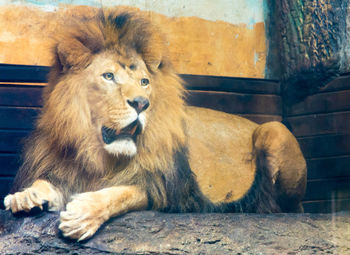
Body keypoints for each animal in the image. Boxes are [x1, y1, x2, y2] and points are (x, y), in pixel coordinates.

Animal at [4, 9, 306, 241]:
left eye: (144, 82)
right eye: (108, 76)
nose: (141, 103)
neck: (98, 156)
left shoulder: (164, 189)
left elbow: (122, 193)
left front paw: (82, 214)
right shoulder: (62, 168)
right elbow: (46, 182)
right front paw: (25, 196)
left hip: (274, 131)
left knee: (286, 206)